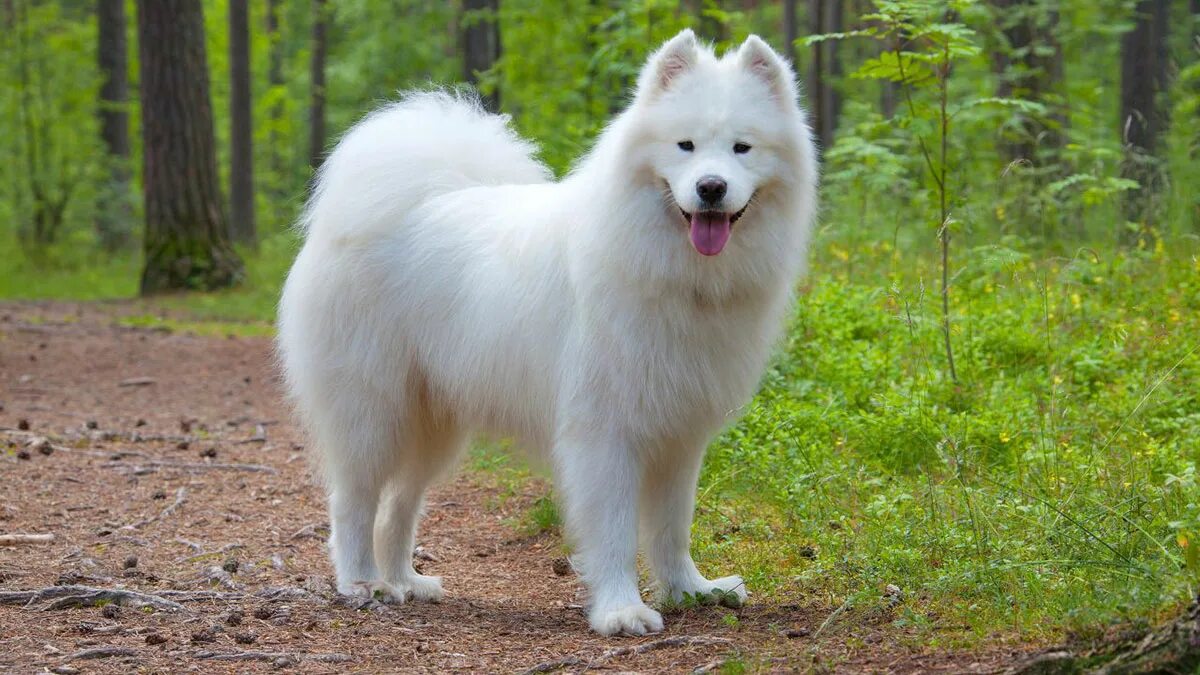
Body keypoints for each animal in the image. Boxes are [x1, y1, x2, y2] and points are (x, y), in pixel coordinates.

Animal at [280, 28, 816, 634]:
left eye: (742, 148)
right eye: (685, 146)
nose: (710, 187)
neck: (673, 271)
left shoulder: (680, 434)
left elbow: (671, 528)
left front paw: (691, 590)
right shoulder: (604, 432)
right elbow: (614, 532)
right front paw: (621, 610)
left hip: (435, 424)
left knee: (400, 505)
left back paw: (406, 581)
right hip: (373, 411)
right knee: (354, 501)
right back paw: (362, 583)